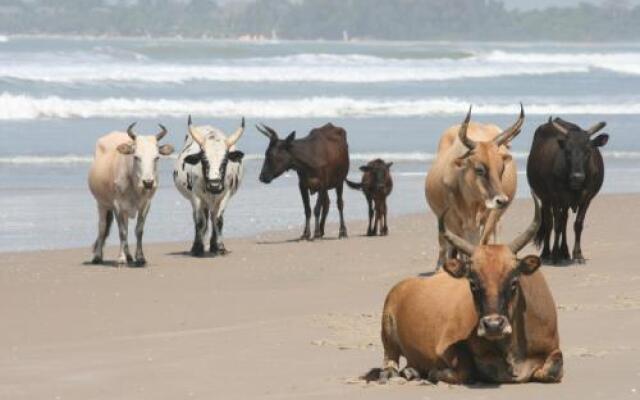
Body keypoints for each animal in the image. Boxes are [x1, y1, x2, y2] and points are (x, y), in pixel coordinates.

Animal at [87, 122, 174, 266]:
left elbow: (139, 230)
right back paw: (98, 256)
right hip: (101, 203)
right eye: (136, 157)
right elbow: (122, 232)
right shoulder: (117, 205)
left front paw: (140, 257)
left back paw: (128, 255)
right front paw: (121, 258)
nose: (148, 183)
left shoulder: (146, 204)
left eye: (156, 157)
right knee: (102, 227)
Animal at [172, 115, 245, 256]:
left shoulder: (225, 195)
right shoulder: (196, 196)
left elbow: (218, 220)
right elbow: (200, 221)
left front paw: (220, 247)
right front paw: (198, 248)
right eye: (204, 160)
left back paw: (213, 245)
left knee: (212, 217)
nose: (214, 185)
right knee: (199, 218)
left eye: (225, 161)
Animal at [368, 197, 564, 384]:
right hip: (387, 331)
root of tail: (404, 285)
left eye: (514, 282)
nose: (493, 325)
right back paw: (397, 372)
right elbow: (466, 369)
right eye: (473, 283)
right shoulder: (447, 346)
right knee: (390, 360)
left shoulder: (553, 349)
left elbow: (553, 371)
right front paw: (433, 372)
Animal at [424, 104, 524, 268]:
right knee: (444, 246)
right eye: (479, 169)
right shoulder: (452, 221)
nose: (502, 200)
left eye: (502, 168)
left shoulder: (488, 217)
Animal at [524, 117, 608, 264]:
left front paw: (578, 254)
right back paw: (547, 253)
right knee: (550, 222)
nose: (577, 176)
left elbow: (578, 224)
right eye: (567, 151)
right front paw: (554, 255)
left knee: (564, 221)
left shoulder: (587, 198)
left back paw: (565, 252)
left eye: (588, 151)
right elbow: (556, 225)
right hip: (546, 199)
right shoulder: (556, 198)